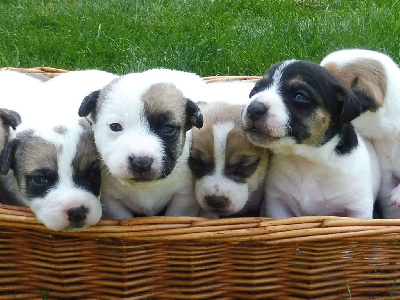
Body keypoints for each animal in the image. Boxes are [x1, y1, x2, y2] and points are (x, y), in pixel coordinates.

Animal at [241, 59, 382, 219]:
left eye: (300, 96)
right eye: (255, 90)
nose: (253, 109)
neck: (306, 161)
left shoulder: (358, 209)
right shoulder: (278, 203)